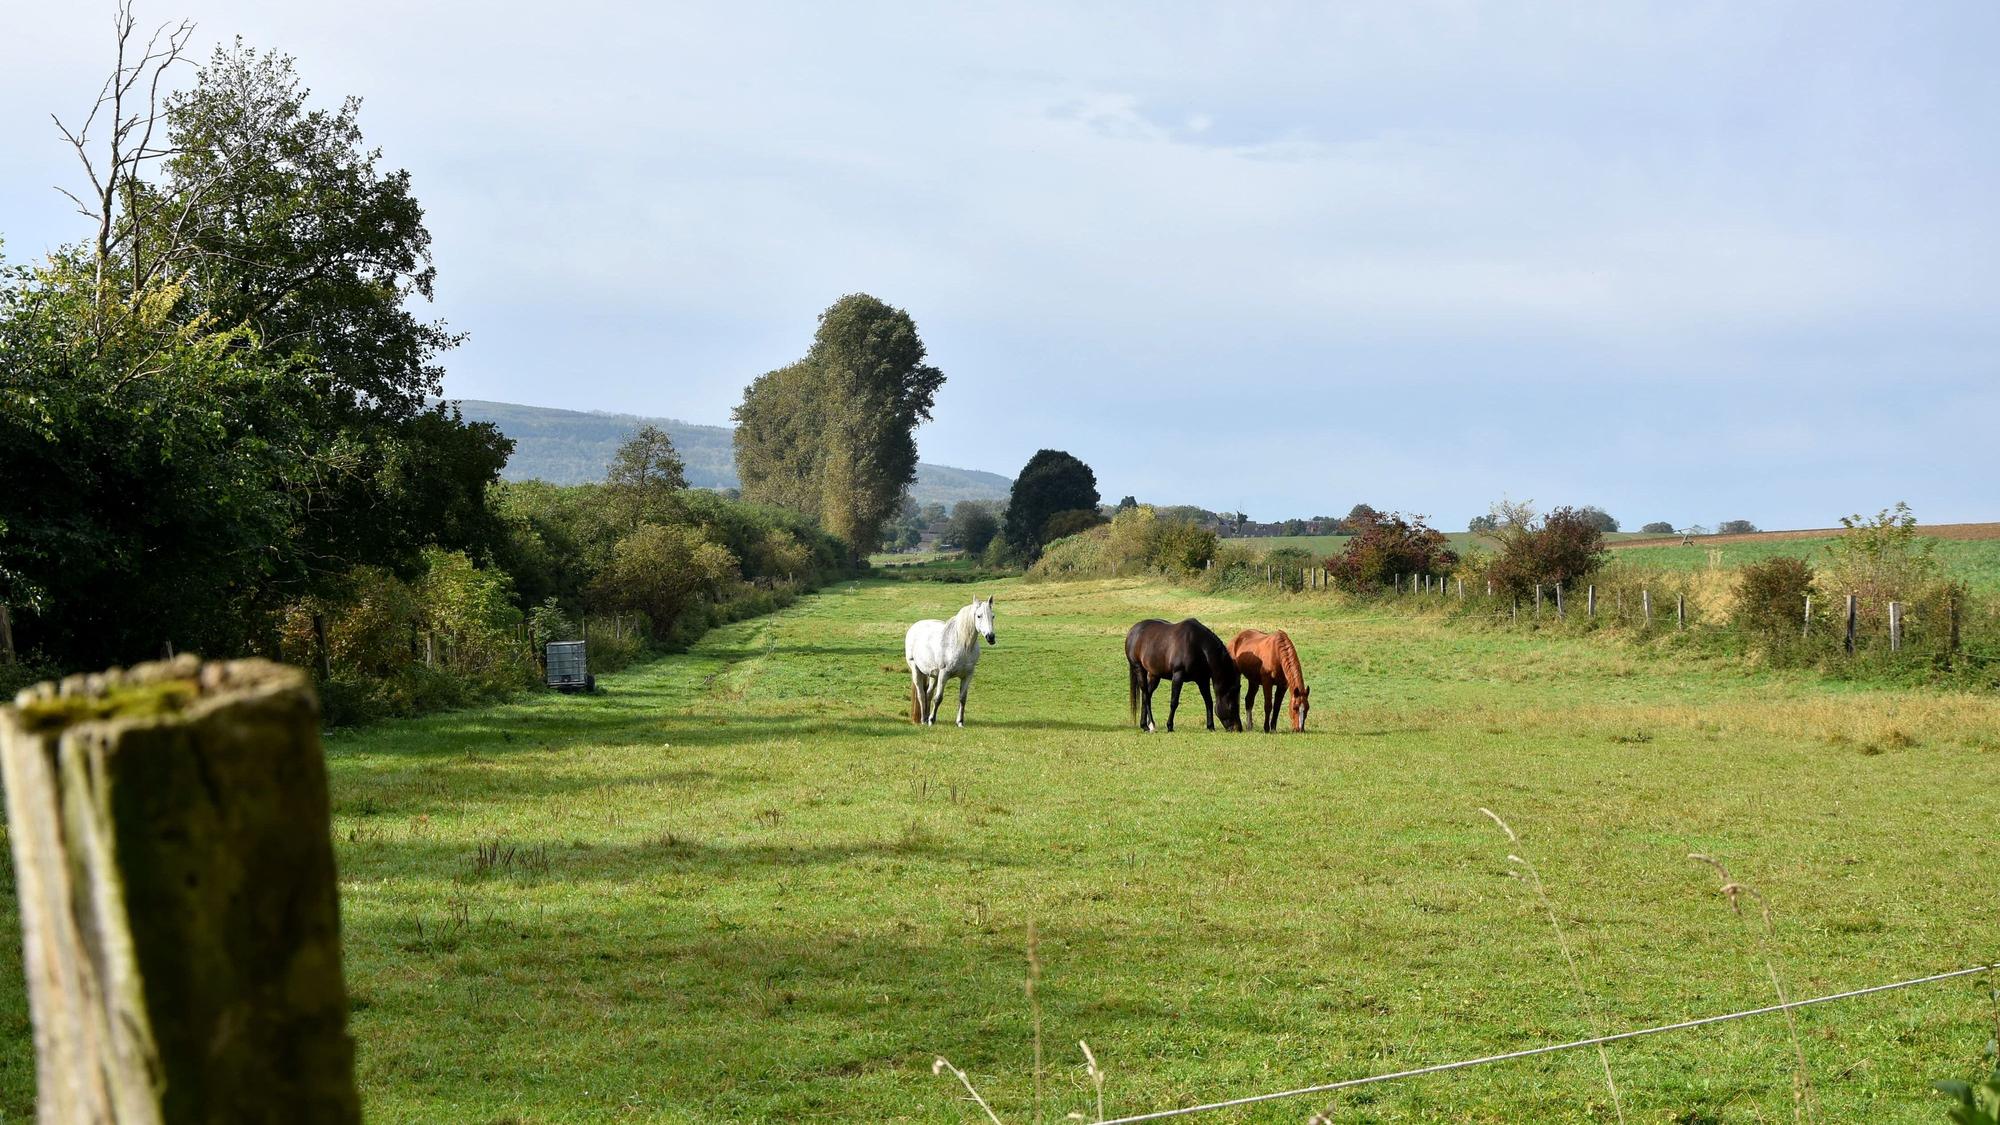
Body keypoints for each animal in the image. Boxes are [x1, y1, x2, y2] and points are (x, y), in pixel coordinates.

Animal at [905, 596, 997, 726]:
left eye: (992, 616)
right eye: (979, 616)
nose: (991, 637)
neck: (962, 645)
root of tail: (914, 627)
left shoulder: (967, 675)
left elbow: (962, 698)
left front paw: (960, 722)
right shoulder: (944, 674)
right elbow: (938, 698)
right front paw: (932, 720)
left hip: (934, 675)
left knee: (928, 693)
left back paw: (926, 717)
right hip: (916, 670)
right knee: (921, 694)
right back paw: (924, 720)